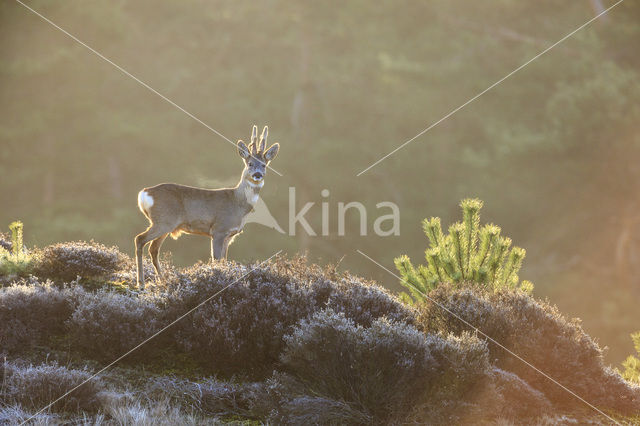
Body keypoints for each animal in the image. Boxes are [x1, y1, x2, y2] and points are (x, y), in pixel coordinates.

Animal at [135, 125, 280, 288]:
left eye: (264, 165)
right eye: (250, 164)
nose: (257, 174)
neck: (238, 204)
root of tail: (144, 193)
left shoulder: (229, 236)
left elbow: (224, 260)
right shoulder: (218, 230)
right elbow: (216, 260)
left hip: (165, 224)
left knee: (153, 249)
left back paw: (164, 280)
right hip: (163, 221)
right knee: (140, 239)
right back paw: (141, 283)